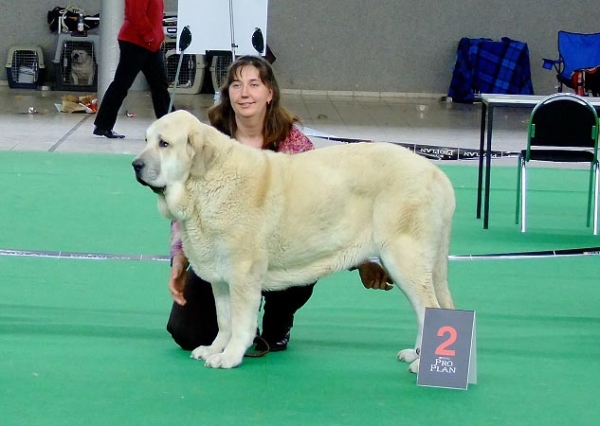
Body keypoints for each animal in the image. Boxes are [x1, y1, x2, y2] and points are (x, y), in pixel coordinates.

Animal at [134, 110, 458, 372]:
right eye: (146, 140)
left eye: (164, 144)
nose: (135, 164)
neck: (205, 184)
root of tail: (437, 173)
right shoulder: (221, 279)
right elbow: (224, 321)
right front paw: (215, 349)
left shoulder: (243, 274)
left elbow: (240, 323)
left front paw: (229, 357)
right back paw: (415, 354)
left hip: (404, 260)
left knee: (430, 308)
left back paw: (421, 363)